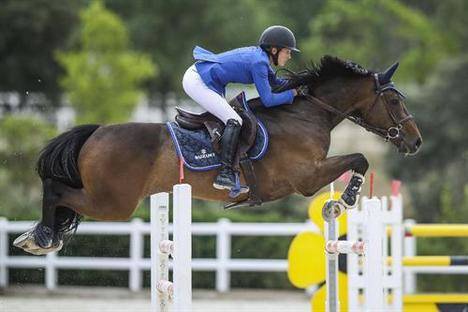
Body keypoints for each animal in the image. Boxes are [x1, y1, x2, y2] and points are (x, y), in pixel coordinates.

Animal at [15, 56, 424, 256]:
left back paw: (39, 236)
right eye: (393, 100)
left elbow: (358, 159)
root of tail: (96, 131)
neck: (307, 113)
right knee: (56, 190)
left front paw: (340, 202)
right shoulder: (306, 178)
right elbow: (359, 158)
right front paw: (344, 201)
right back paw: (42, 237)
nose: (416, 142)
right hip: (113, 202)